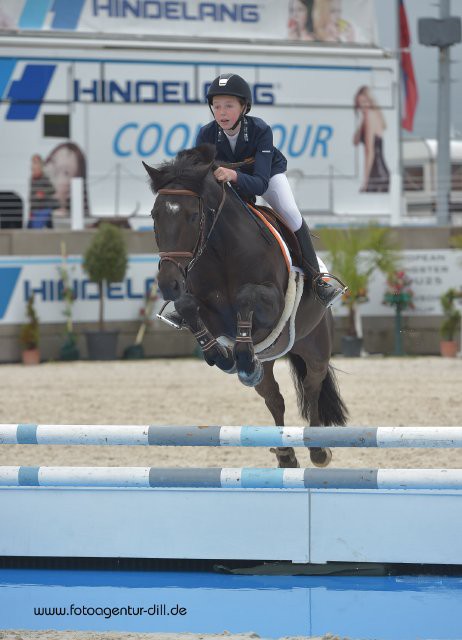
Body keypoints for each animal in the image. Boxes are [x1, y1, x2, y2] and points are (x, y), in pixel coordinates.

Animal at [144, 144, 346, 464]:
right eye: (155, 215)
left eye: (192, 215)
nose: (168, 284)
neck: (221, 249)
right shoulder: (211, 313)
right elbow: (189, 307)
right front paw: (223, 357)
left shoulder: (273, 304)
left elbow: (245, 297)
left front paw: (239, 357)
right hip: (271, 357)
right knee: (274, 397)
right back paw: (285, 453)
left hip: (315, 347)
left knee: (312, 387)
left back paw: (317, 449)